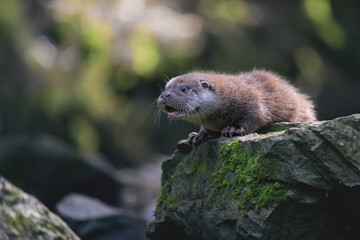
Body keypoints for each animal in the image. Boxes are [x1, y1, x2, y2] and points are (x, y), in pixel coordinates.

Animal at [157, 69, 316, 144]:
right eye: (165, 88)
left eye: (183, 88)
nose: (164, 95)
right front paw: (199, 135)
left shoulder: (253, 102)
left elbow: (253, 118)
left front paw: (233, 129)